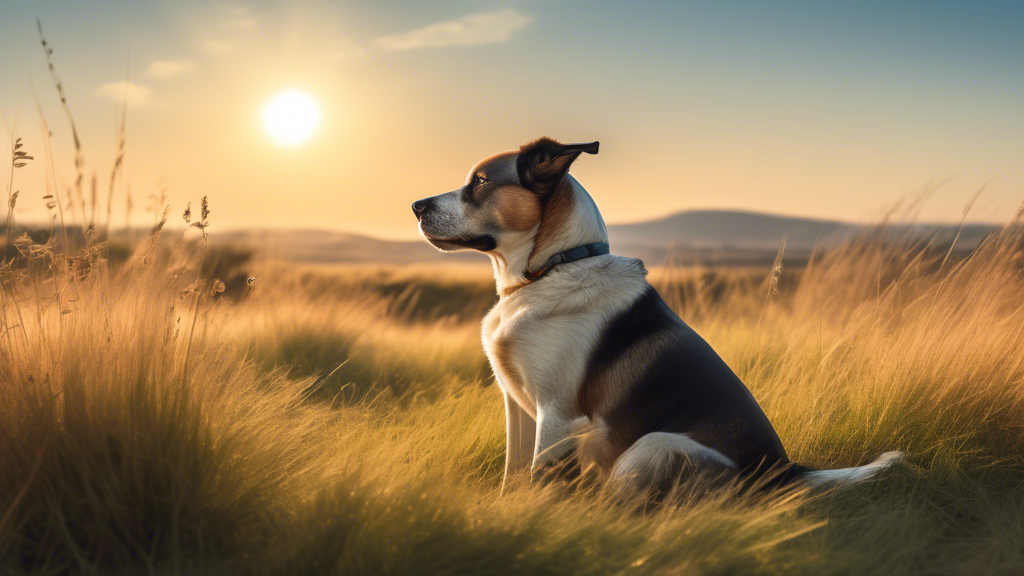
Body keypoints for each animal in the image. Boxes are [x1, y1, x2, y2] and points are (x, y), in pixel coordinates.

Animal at [411, 138, 901, 494]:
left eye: (479, 181)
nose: (416, 205)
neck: (552, 268)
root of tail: (781, 471)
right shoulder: (517, 406)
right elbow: (512, 477)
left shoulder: (557, 416)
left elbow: (539, 483)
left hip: (649, 446)